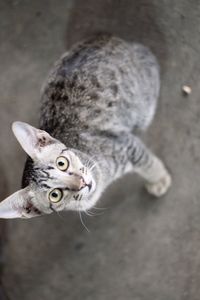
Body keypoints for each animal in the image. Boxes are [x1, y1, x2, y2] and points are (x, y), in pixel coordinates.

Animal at [0, 34, 172, 218]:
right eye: (55, 195)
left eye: (62, 163)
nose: (81, 182)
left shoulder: (127, 144)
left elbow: (148, 163)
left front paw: (159, 179)